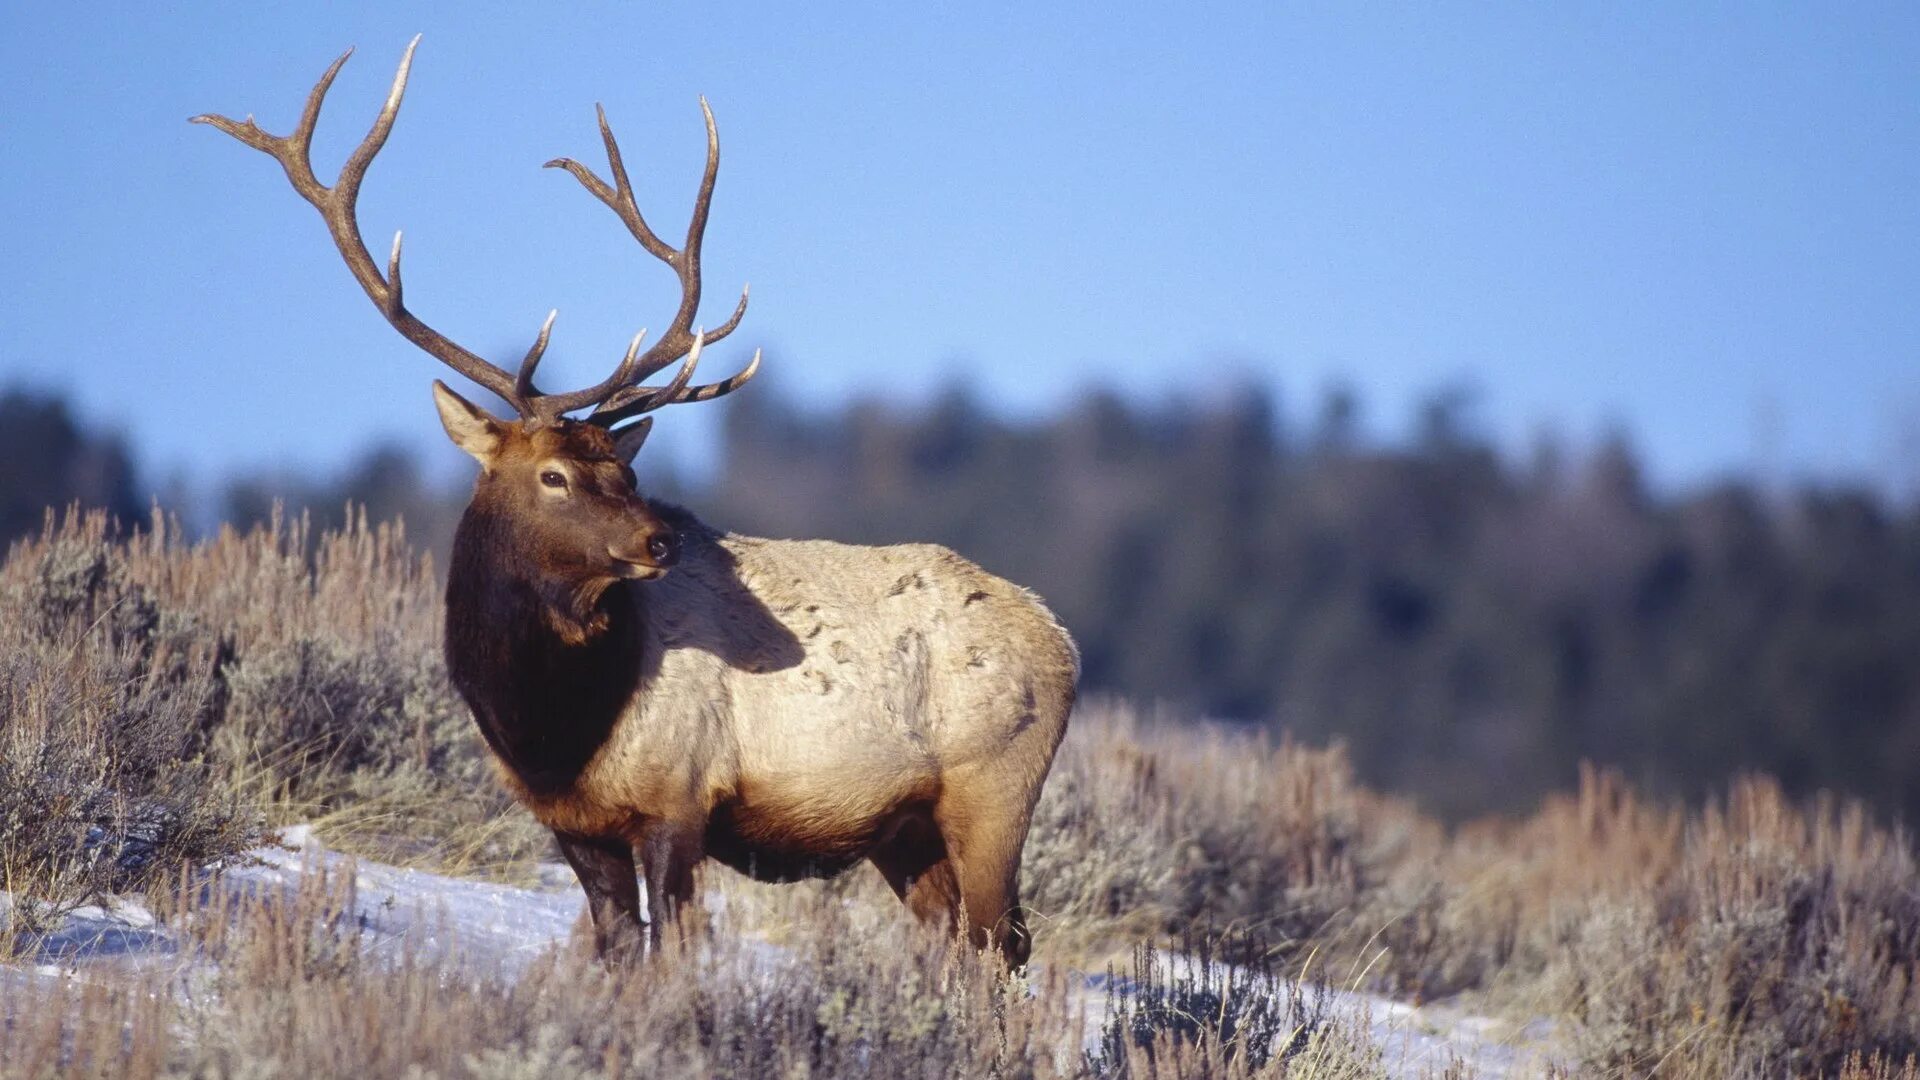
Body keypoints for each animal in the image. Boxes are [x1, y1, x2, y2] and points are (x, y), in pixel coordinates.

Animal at [194, 39, 1082, 968]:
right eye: (555, 474)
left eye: (621, 467)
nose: (662, 541)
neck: (549, 728)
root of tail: (1063, 643)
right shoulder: (572, 823)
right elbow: (618, 949)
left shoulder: (677, 797)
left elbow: (675, 953)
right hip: (904, 830)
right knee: (963, 948)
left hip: (993, 789)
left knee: (999, 947)